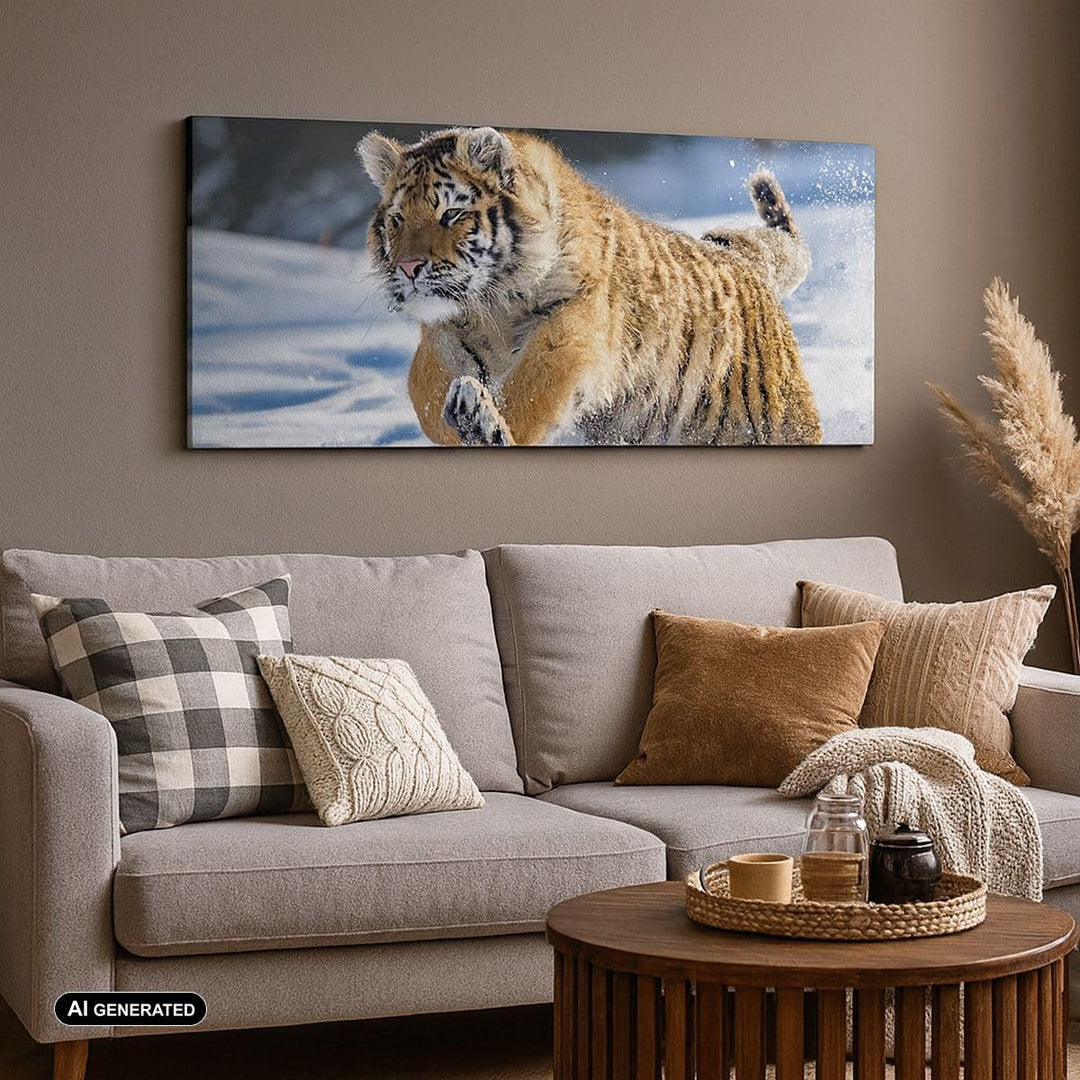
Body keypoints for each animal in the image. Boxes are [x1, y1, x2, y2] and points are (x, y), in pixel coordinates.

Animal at [357, 126, 821, 446]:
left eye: (451, 214)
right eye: (397, 219)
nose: (409, 267)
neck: (490, 308)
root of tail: (746, 262)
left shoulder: (571, 328)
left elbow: (530, 389)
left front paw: (491, 427)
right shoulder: (442, 337)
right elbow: (427, 395)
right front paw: (465, 419)